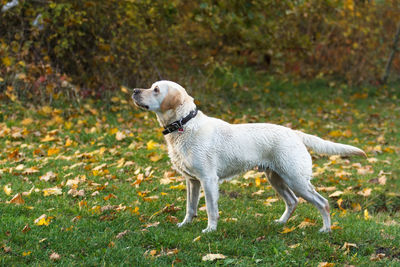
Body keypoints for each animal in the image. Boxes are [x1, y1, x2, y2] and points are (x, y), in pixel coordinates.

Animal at [131, 80, 366, 233]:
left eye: (156, 90)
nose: (134, 90)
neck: (184, 125)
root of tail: (295, 133)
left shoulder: (208, 180)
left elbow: (211, 209)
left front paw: (210, 230)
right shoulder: (192, 181)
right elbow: (190, 207)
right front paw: (184, 225)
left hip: (296, 179)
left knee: (322, 202)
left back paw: (325, 230)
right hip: (276, 178)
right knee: (292, 202)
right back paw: (280, 224)